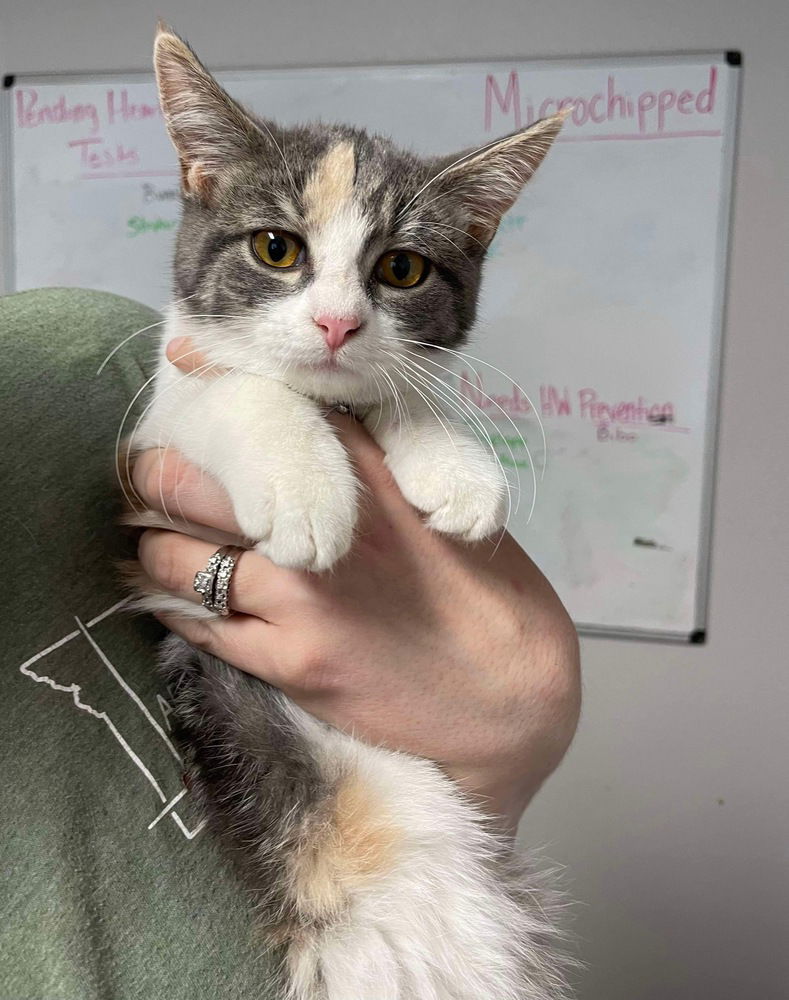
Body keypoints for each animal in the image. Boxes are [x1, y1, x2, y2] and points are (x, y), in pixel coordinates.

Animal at [129, 23, 572, 1000]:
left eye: (400, 269)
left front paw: (454, 464)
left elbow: (401, 388)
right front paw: (306, 485)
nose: (335, 324)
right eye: (275, 249)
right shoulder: (154, 435)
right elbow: (237, 388)